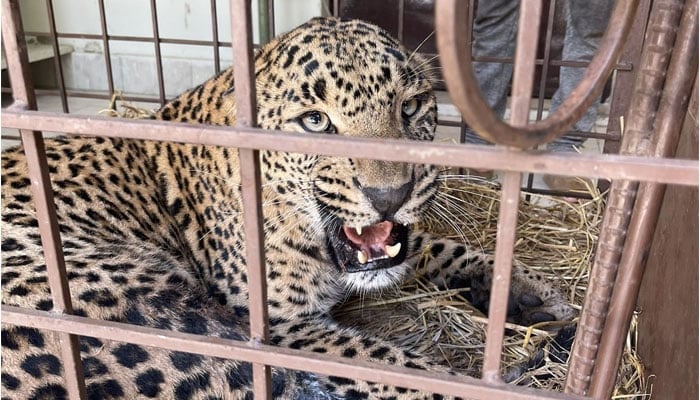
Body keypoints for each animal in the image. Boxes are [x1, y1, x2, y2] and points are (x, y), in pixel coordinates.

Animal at [1, 17, 576, 398]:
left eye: (410, 106)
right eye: (315, 122)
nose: (390, 195)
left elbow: (437, 247)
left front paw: (524, 292)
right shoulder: (280, 327)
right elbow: (393, 366)